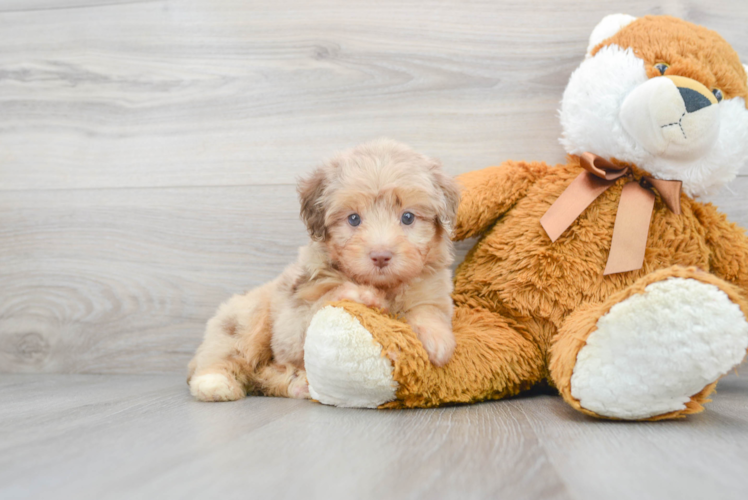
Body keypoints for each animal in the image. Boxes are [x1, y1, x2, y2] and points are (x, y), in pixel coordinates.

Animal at [187, 138, 462, 402]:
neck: (385, 286)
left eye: (408, 217)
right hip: (246, 317)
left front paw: (437, 341)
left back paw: (297, 384)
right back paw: (214, 383)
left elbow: (428, 310)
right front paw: (360, 294)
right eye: (353, 219)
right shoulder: (291, 322)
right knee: (227, 353)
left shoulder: (432, 289)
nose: (381, 256)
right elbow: (321, 303)